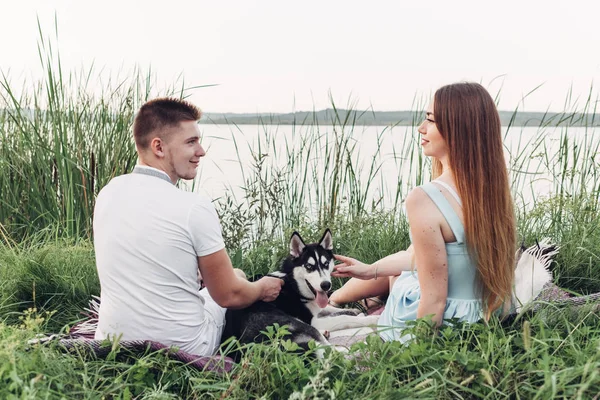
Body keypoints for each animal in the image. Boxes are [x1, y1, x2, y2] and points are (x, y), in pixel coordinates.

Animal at [220, 228, 380, 356]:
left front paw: (353, 310)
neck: (292, 284)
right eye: (309, 266)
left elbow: (332, 309)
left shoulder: (317, 308)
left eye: (326, 264)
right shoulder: (313, 320)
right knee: (333, 352)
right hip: (298, 326)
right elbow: (343, 319)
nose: (326, 285)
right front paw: (371, 318)